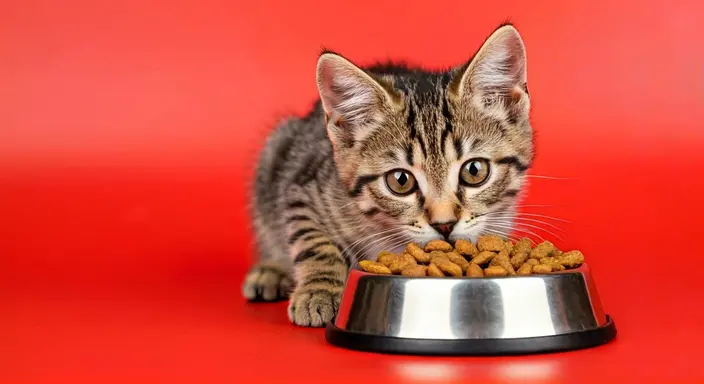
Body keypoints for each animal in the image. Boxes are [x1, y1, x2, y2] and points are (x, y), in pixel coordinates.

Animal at [242, 23, 532, 328]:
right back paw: (270, 271)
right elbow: (314, 241)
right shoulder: (302, 189)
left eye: (474, 171)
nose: (444, 225)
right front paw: (318, 290)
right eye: (400, 181)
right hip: (275, 153)